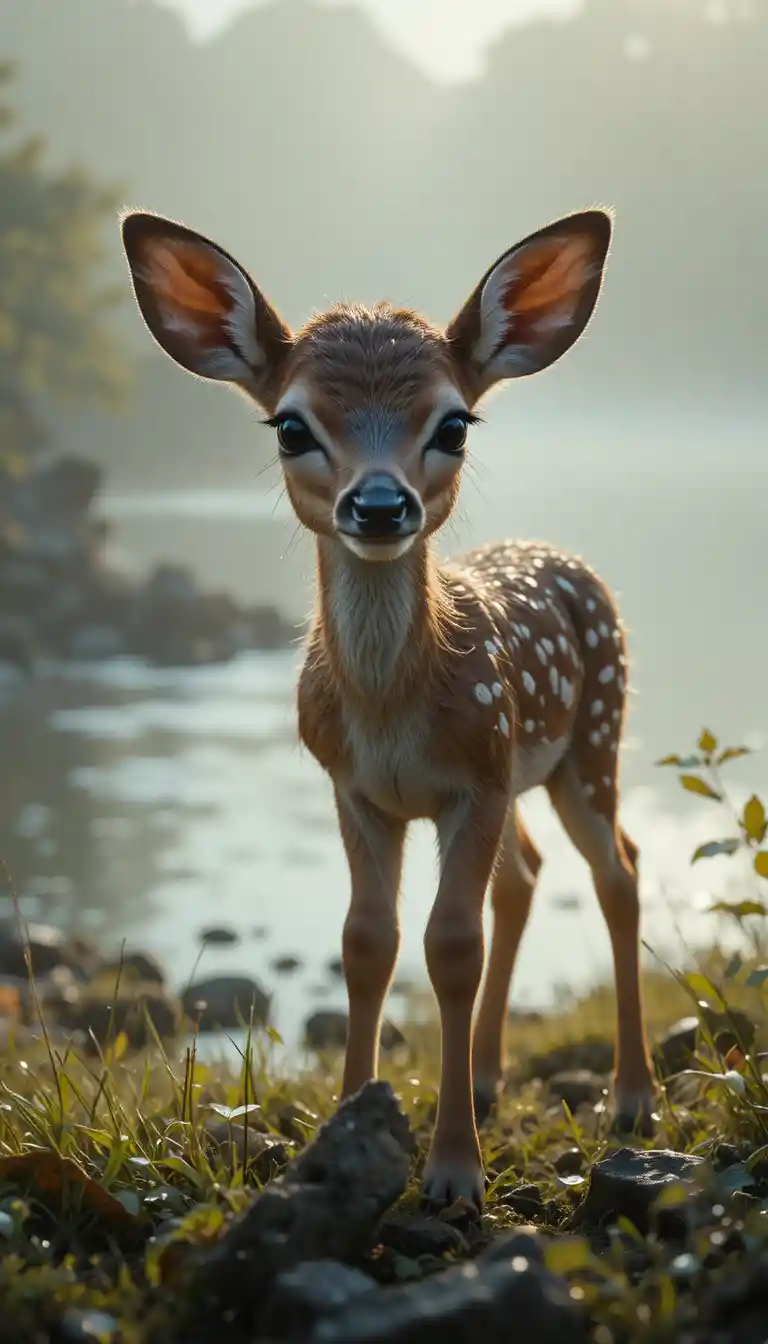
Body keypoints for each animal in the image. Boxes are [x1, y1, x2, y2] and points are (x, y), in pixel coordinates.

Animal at [121, 206, 656, 1210]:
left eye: (454, 422)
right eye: (292, 426)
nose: (378, 503)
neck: (392, 712)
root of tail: (566, 559)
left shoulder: (474, 776)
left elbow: (450, 947)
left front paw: (453, 1173)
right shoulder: (354, 785)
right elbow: (368, 941)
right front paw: (339, 1140)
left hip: (592, 739)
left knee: (619, 871)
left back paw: (634, 1099)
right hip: (527, 770)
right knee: (527, 876)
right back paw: (487, 1075)